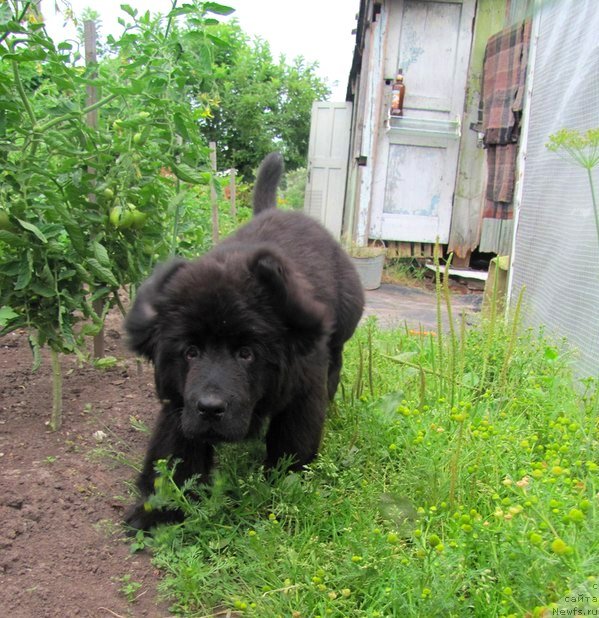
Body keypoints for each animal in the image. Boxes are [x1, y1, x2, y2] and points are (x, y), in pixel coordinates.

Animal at [124, 152, 364, 528]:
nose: (210, 408)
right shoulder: (180, 403)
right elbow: (173, 455)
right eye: (190, 352)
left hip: (341, 331)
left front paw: (283, 493)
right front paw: (156, 513)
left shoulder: (301, 393)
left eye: (246, 354)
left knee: (334, 366)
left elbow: (292, 445)